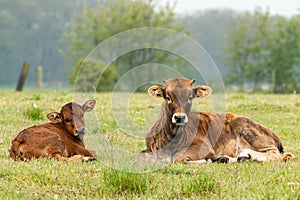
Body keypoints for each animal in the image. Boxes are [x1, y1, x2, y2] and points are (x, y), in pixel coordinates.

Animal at [140, 77, 292, 163]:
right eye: (168, 97)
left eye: (190, 97)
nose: (179, 117)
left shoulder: (203, 146)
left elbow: (178, 158)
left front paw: (206, 160)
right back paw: (231, 158)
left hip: (252, 133)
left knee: (278, 154)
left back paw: (246, 154)